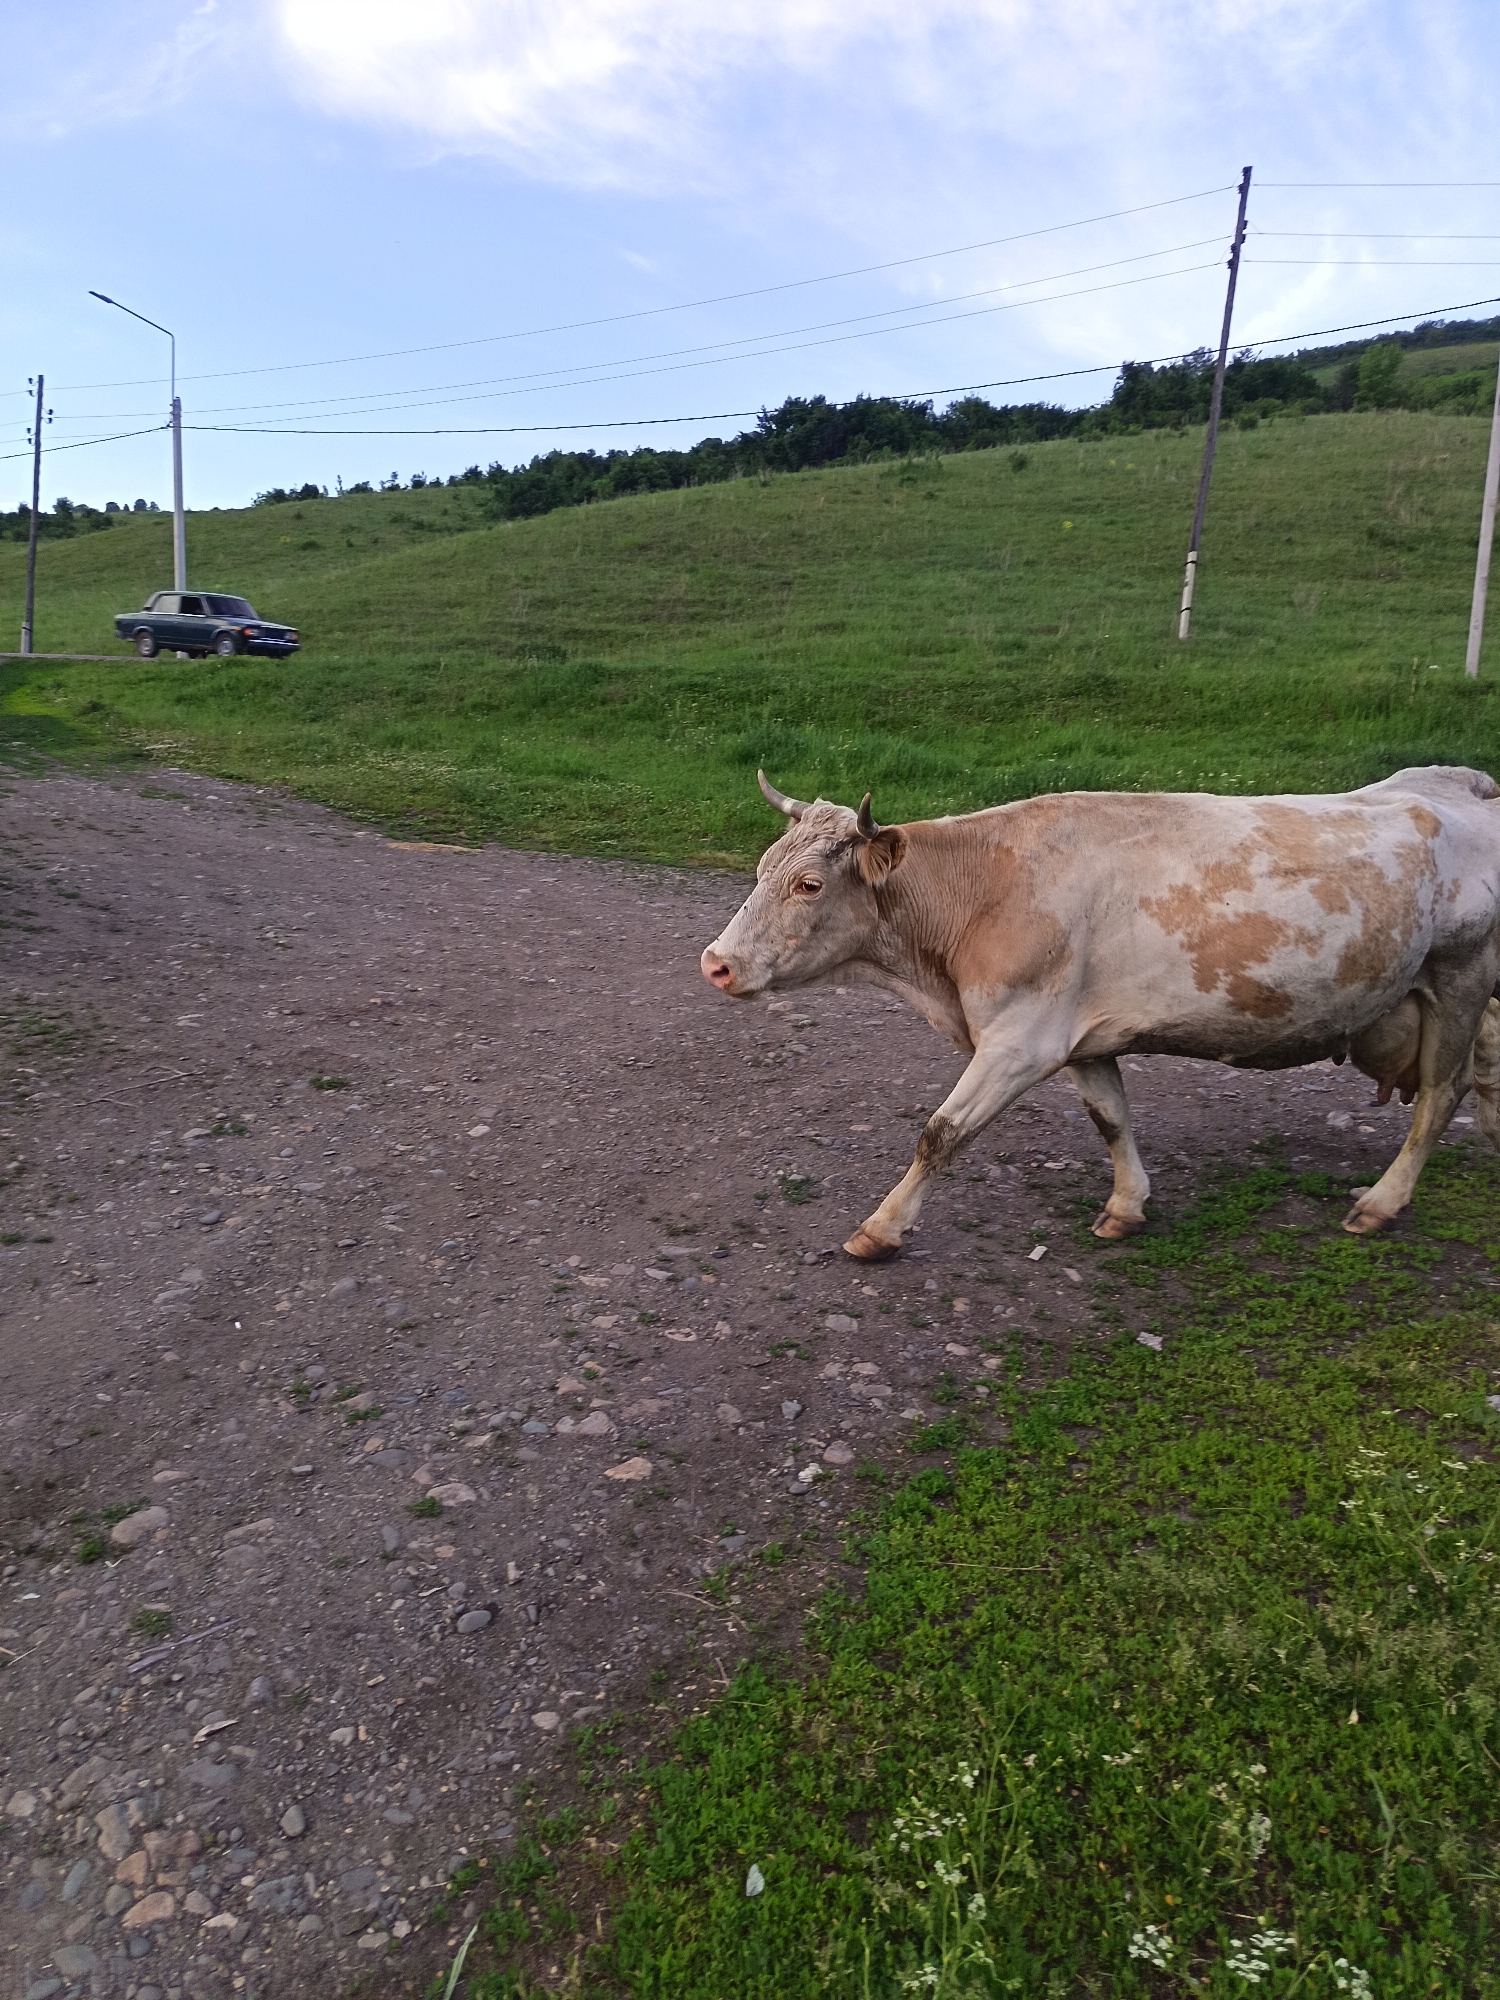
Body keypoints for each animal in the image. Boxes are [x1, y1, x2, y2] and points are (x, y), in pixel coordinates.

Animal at [700, 766, 1500, 1260]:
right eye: (763, 867)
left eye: (808, 884)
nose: (716, 963)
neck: (982, 894)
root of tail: (1464, 782)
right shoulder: (1081, 1038)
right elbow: (1111, 1119)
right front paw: (1126, 1205)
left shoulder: (1020, 1040)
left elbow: (940, 1133)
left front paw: (881, 1228)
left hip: (1461, 975)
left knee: (1441, 1093)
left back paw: (1383, 1202)